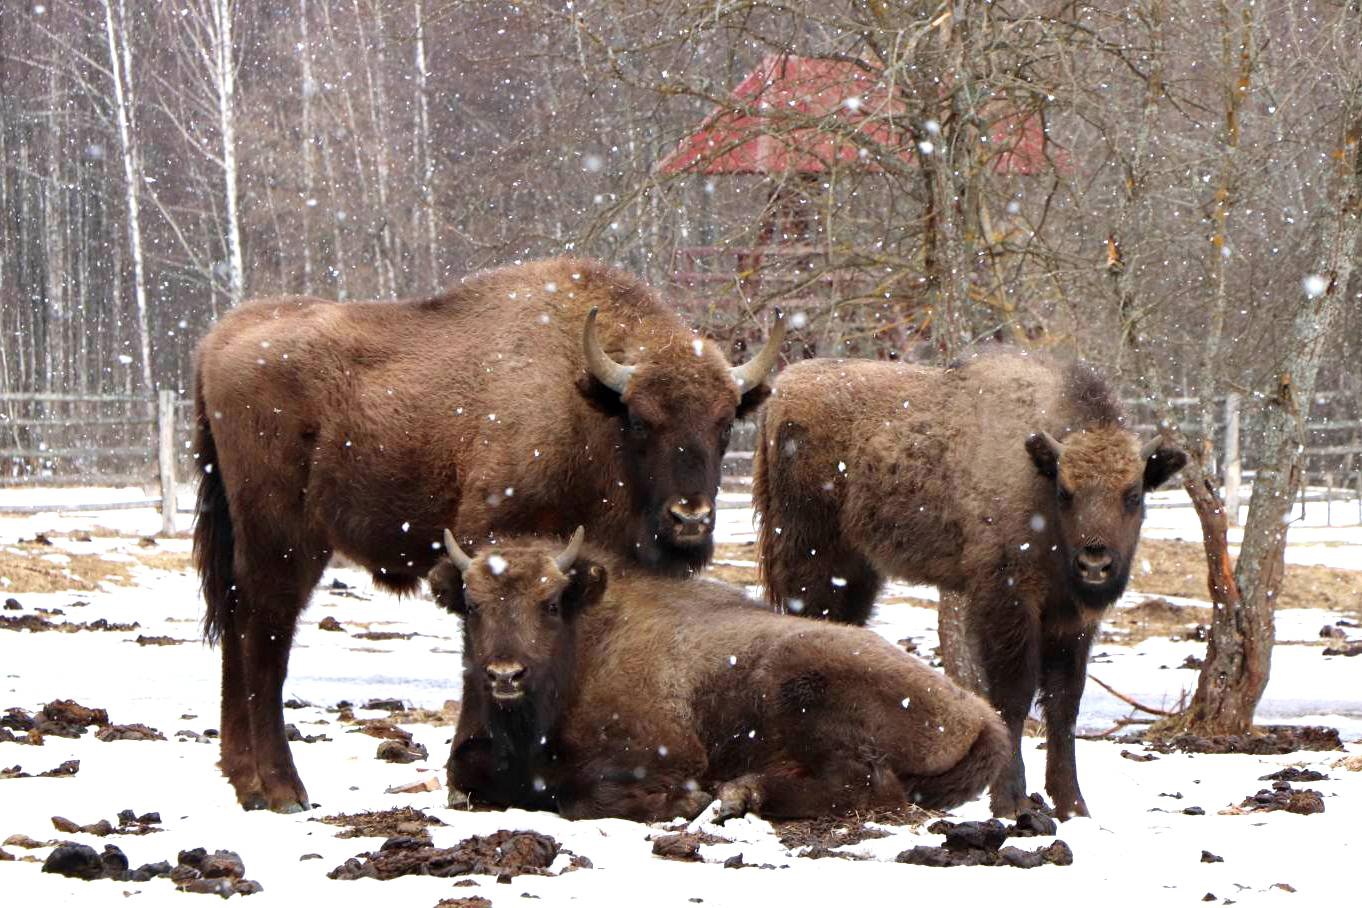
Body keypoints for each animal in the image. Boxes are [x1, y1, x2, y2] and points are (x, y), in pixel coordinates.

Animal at [196, 254, 784, 811]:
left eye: (726, 423)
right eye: (640, 420)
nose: (691, 519)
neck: (584, 403)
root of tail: (215, 342)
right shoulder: (489, 540)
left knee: (236, 624)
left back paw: (246, 782)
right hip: (283, 541)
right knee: (264, 636)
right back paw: (283, 790)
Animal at [427, 525, 1013, 822]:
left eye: (550, 604)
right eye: (472, 606)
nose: (505, 675)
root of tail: (979, 714)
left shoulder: (668, 751)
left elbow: (582, 794)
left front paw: (689, 799)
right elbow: (465, 780)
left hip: (802, 687)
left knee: (867, 784)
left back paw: (739, 794)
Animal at [751, 351, 1187, 822]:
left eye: (1133, 494)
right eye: (1065, 492)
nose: (1095, 563)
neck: (1036, 479)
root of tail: (781, 393)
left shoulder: (1072, 621)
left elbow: (1065, 704)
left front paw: (1073, 806)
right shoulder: (1007, 600)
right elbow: (1012, 697)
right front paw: (1011, 802)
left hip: (856, 572)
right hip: (809, 560)